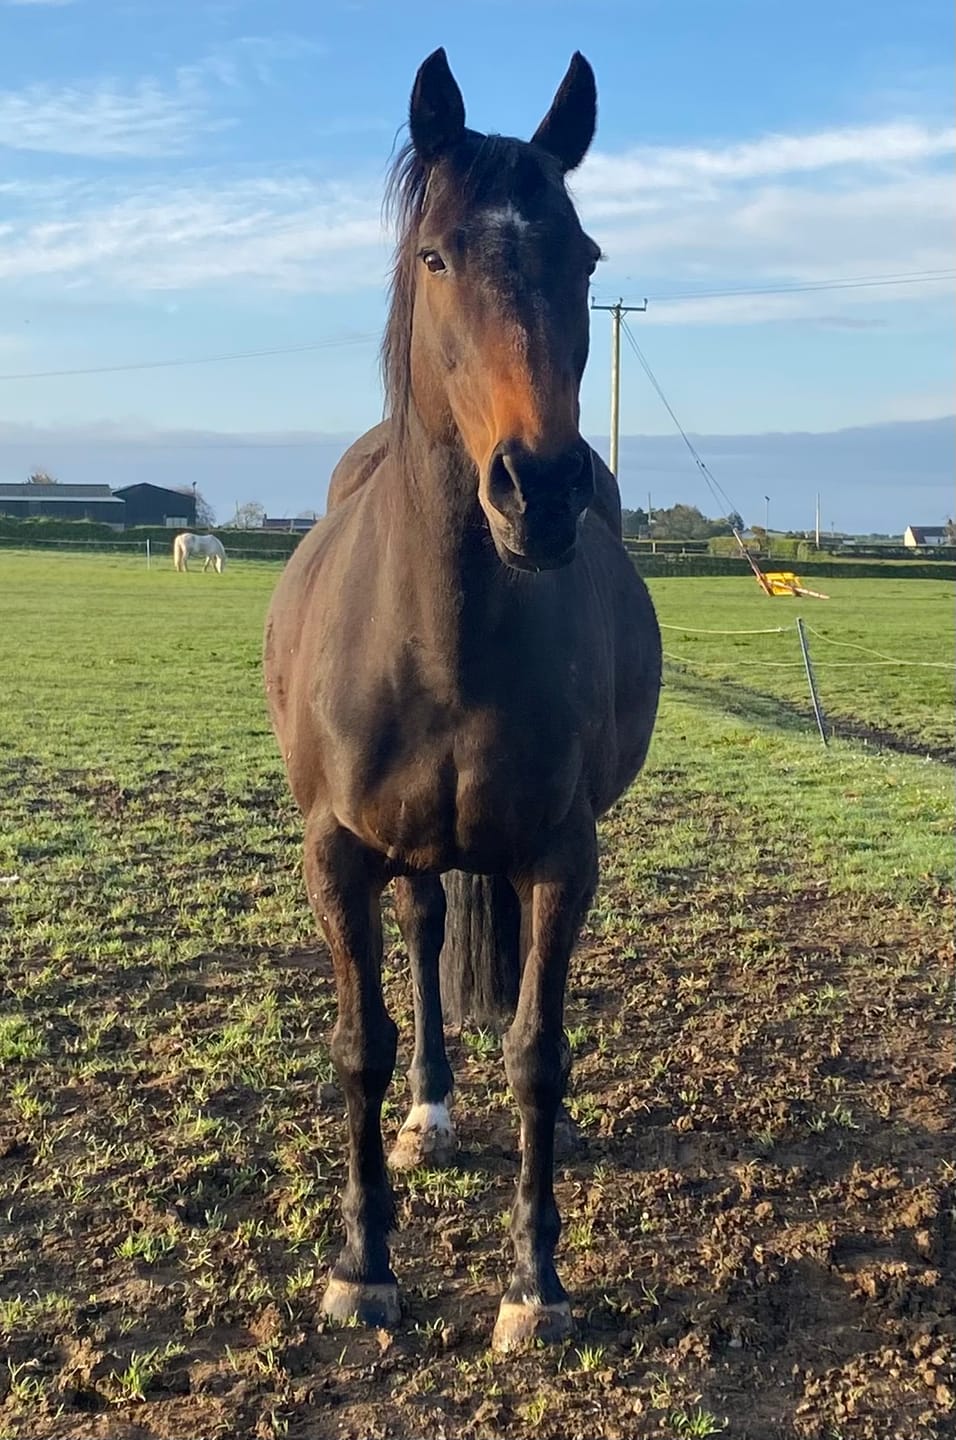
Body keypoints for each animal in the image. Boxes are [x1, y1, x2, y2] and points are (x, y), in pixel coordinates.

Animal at [264, 49, 661, 1351]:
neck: (442, 640)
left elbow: (539, 1051)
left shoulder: (559, 856)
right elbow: (360, 1043)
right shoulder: (336, 853)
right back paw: (428, 1114)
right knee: (426, 929)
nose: (538, 488)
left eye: (581, 256)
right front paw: (363, 1265)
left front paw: (535, 1284)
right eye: (436, 256)